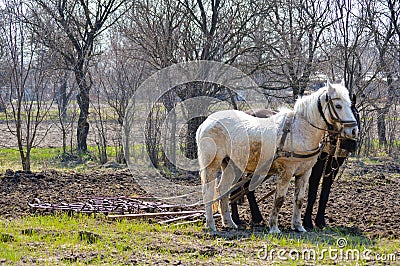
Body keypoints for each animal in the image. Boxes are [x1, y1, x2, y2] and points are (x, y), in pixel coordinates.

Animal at [195, 80, 358, 233]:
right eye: (338, 106)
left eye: (350, 105)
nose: (354, 131)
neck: (299, 131)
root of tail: (206, 122)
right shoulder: (286, 172)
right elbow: (279, 199)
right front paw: (274, 227)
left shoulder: (305, 172)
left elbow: (299, 199)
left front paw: (298, 226)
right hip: (212, 164)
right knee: (208, 191)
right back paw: (211, 225)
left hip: (232, 165)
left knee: (224, 190)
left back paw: (229, 222)